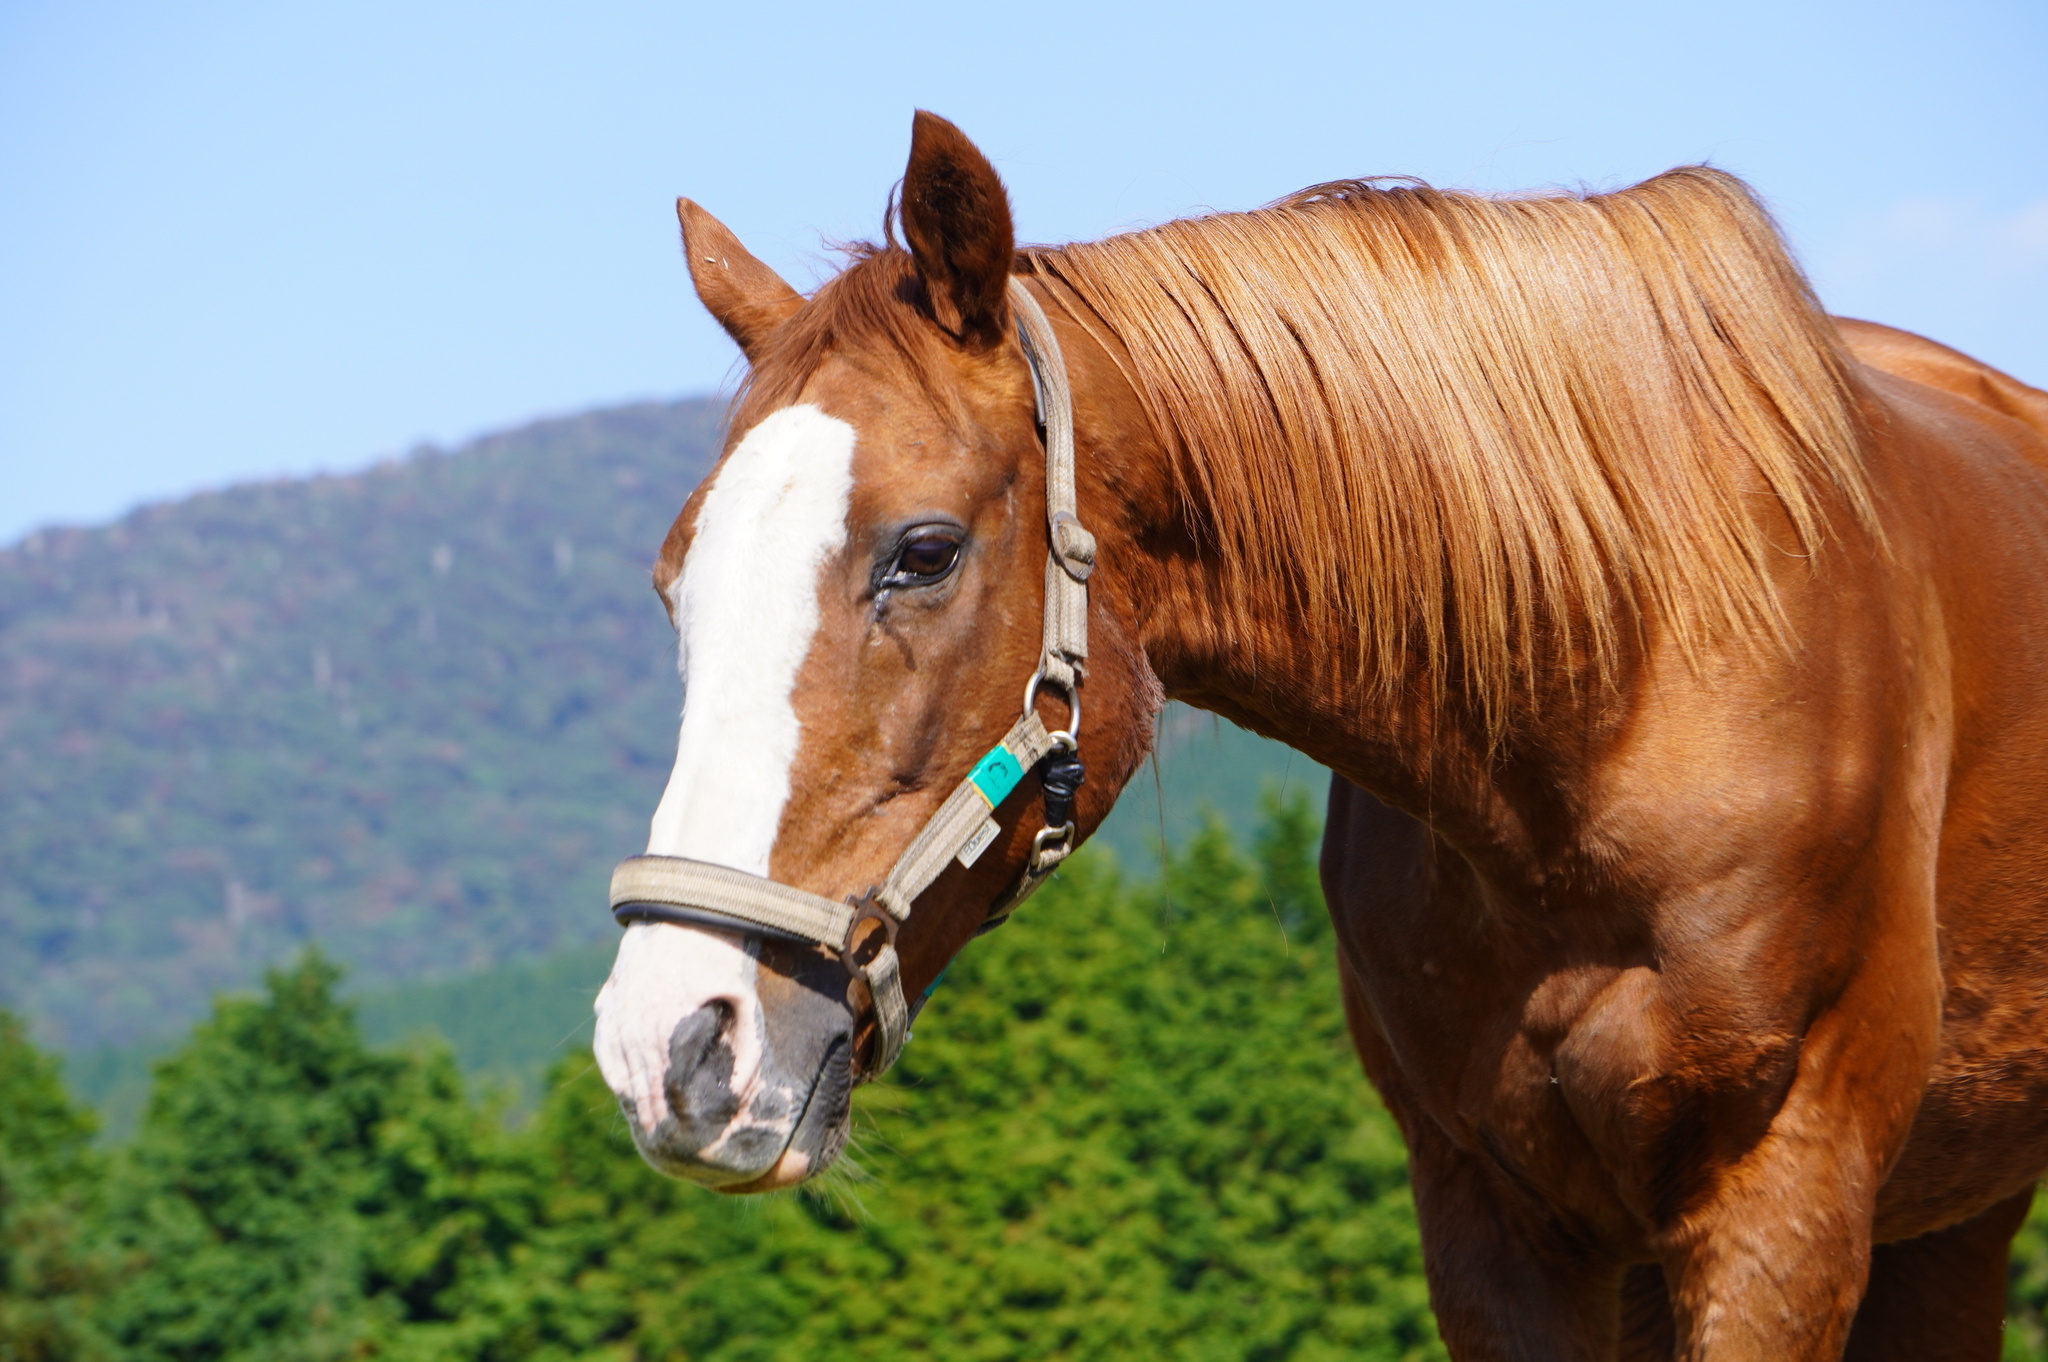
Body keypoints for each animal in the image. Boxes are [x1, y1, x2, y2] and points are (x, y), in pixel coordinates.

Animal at [585, 114, 2048, 1359]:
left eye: (924, 552)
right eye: (674, 581)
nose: (670, 1049)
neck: (1622, 697)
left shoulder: (1778, 1199)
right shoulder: (1494, 1223)